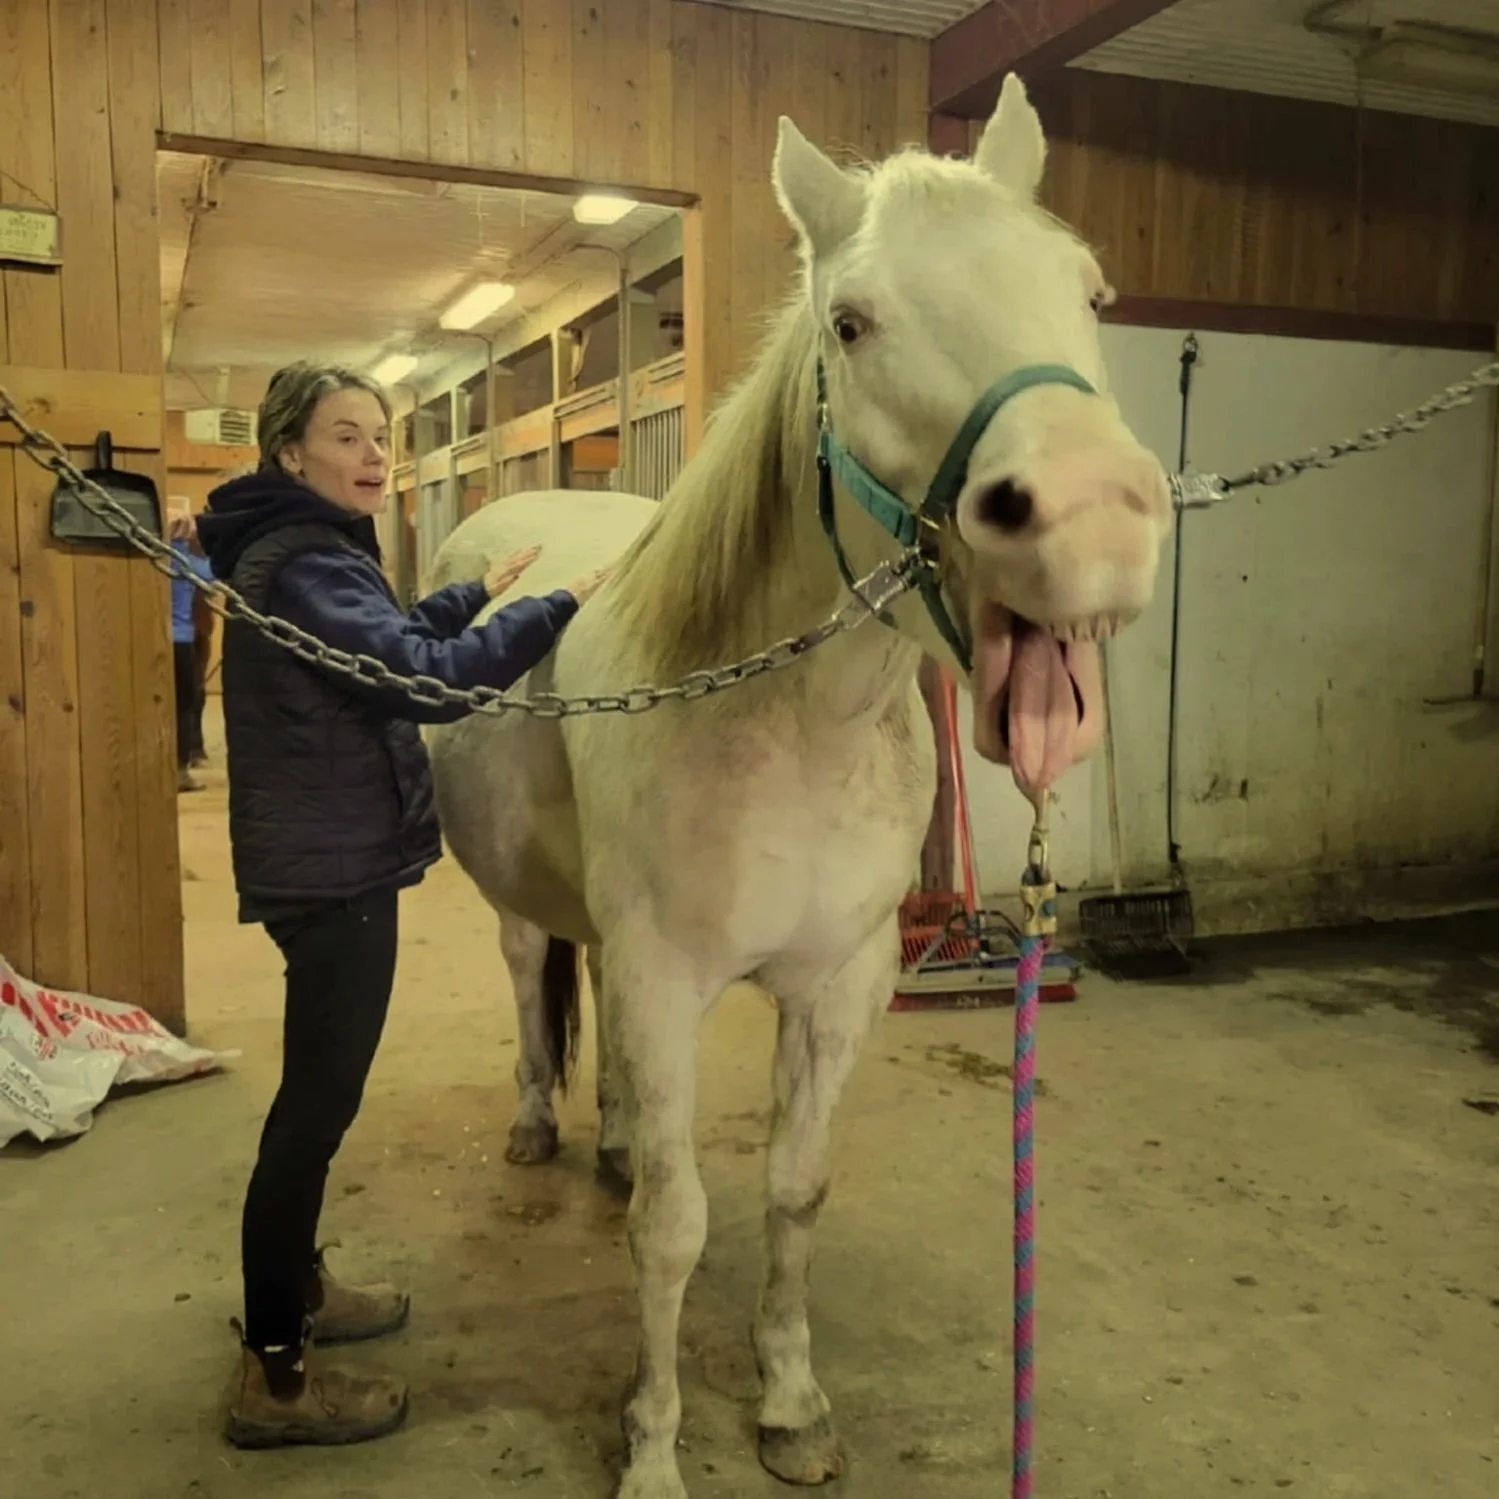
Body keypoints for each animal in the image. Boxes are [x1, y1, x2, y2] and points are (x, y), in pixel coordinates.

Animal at [424, 73, 1173, 1499]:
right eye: (850, 321)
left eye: (1092, 290)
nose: (1094, 519)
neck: (787, 728)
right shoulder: (665, 979)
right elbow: (672, 1228)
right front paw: (652, 1445)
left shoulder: (838, 985)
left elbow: (791, 1188)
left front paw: (787, 1403)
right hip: (520, 912)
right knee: (527, 978)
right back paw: (543, 1128)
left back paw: (610, 1137)